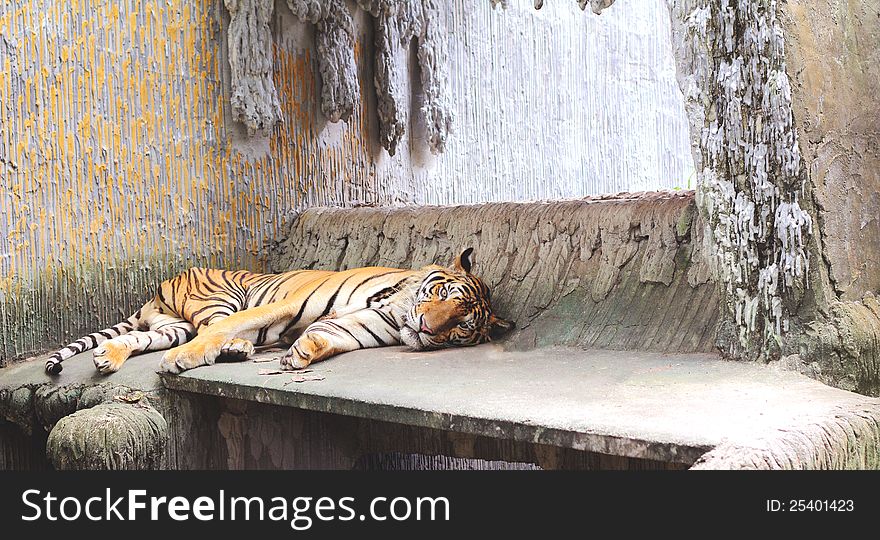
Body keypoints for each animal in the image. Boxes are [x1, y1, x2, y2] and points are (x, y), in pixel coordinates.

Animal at [46, 249, 516, 376]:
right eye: (442, 293)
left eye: (460, 326)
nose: (427, 329)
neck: (395, 307)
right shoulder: (287, 301)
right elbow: (234, 325)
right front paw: (182, 362)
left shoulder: (362, 326)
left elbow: (330, 335)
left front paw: (302, 353)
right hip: (217, 299)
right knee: (213, 328)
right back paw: (227, 349)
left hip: (169, 326)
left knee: (136, 338)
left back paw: (108, 358)